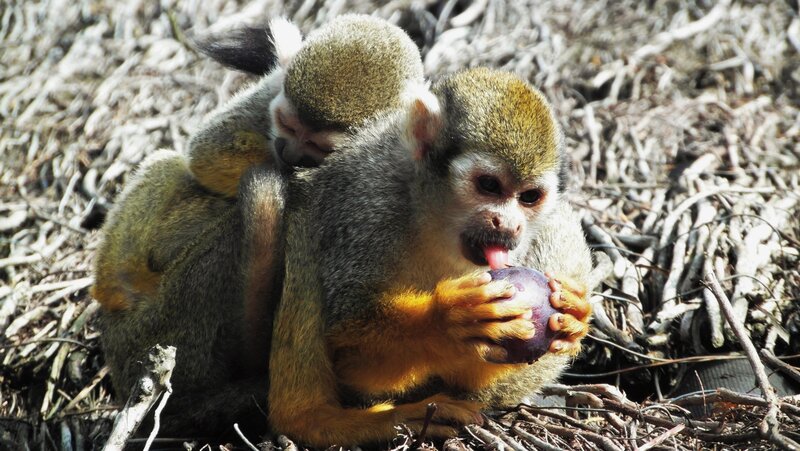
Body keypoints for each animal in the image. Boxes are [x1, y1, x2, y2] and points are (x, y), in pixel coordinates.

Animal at [266, 67, 593, 446]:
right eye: (489, 185)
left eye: (528, 197)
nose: (509, 225)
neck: (430, 215)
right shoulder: (367, 205)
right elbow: (352, 356)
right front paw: (446, 320)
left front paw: (575, 315)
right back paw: (320, 420)